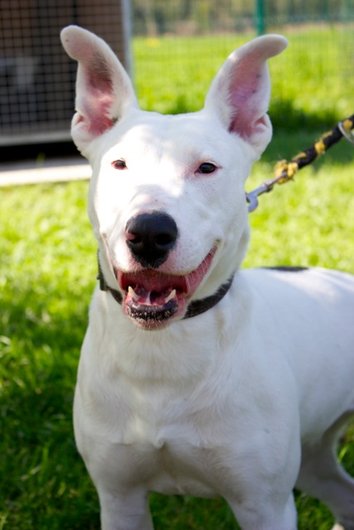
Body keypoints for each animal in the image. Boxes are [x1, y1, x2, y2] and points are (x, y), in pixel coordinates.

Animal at [60, 25, 354, 528]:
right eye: (119, 165)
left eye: (206, 168)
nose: (149, 232)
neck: (164, 350)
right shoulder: (119, 498)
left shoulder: (264, 505)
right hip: (314, 453)